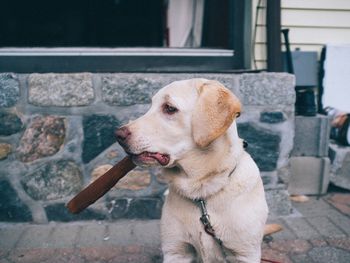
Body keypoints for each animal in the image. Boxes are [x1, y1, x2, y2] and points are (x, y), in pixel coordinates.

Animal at [116, 79, 270, 262]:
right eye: (151, 105)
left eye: (169, 108)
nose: (117, 135)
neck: (201, 190)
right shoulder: (176, 251)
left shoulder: (245, 254)